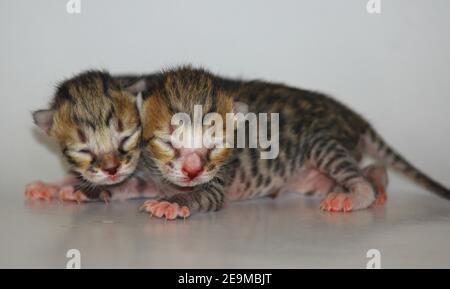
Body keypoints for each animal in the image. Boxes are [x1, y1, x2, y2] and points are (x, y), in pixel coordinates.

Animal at [26, 70, 157, 200]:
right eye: (83, 151)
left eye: (126, 138)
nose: (111, 169)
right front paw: (49, 186)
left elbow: (135, 184)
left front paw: (83, 191)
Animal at [138, 65, 450, 218]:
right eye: (168, 143)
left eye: (215, 146)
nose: (192, 171)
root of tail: (353, 117)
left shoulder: (217, 184)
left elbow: (198, 195)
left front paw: (171, 203)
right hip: (314, 175)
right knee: (374, 168)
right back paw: (377, 183)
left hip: (321, 143)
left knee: (357, 178)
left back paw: (355, 195)